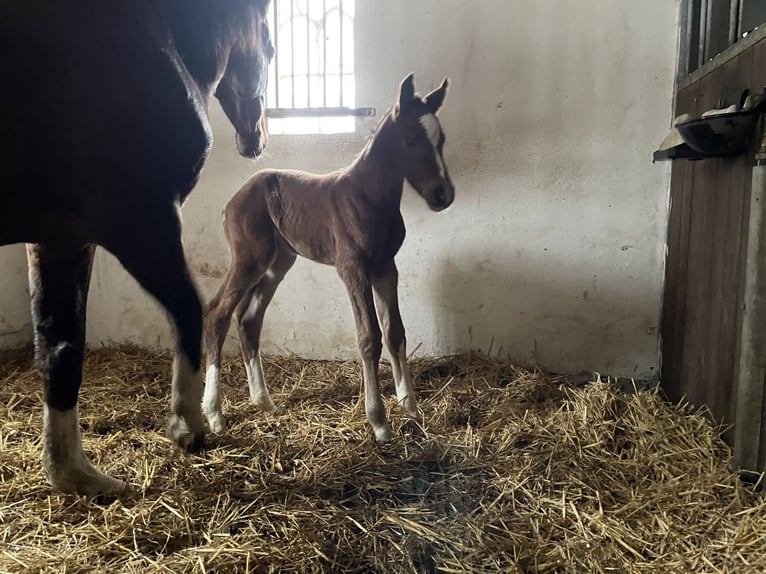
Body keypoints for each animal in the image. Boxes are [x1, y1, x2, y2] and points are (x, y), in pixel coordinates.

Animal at [204, 74, 456, 444]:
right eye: (410, 138)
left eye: (441, 140)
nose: (444, 194)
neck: (368, 196)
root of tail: (232, 201)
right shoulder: (352, 269)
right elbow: (369, 337)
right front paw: (379, 423)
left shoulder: (386, 267)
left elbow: (395, 331)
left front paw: (411, 408)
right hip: (248, 259)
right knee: (217, 315)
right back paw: (214, 414)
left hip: (277, 265)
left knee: (249, 319)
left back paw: (264, 401)